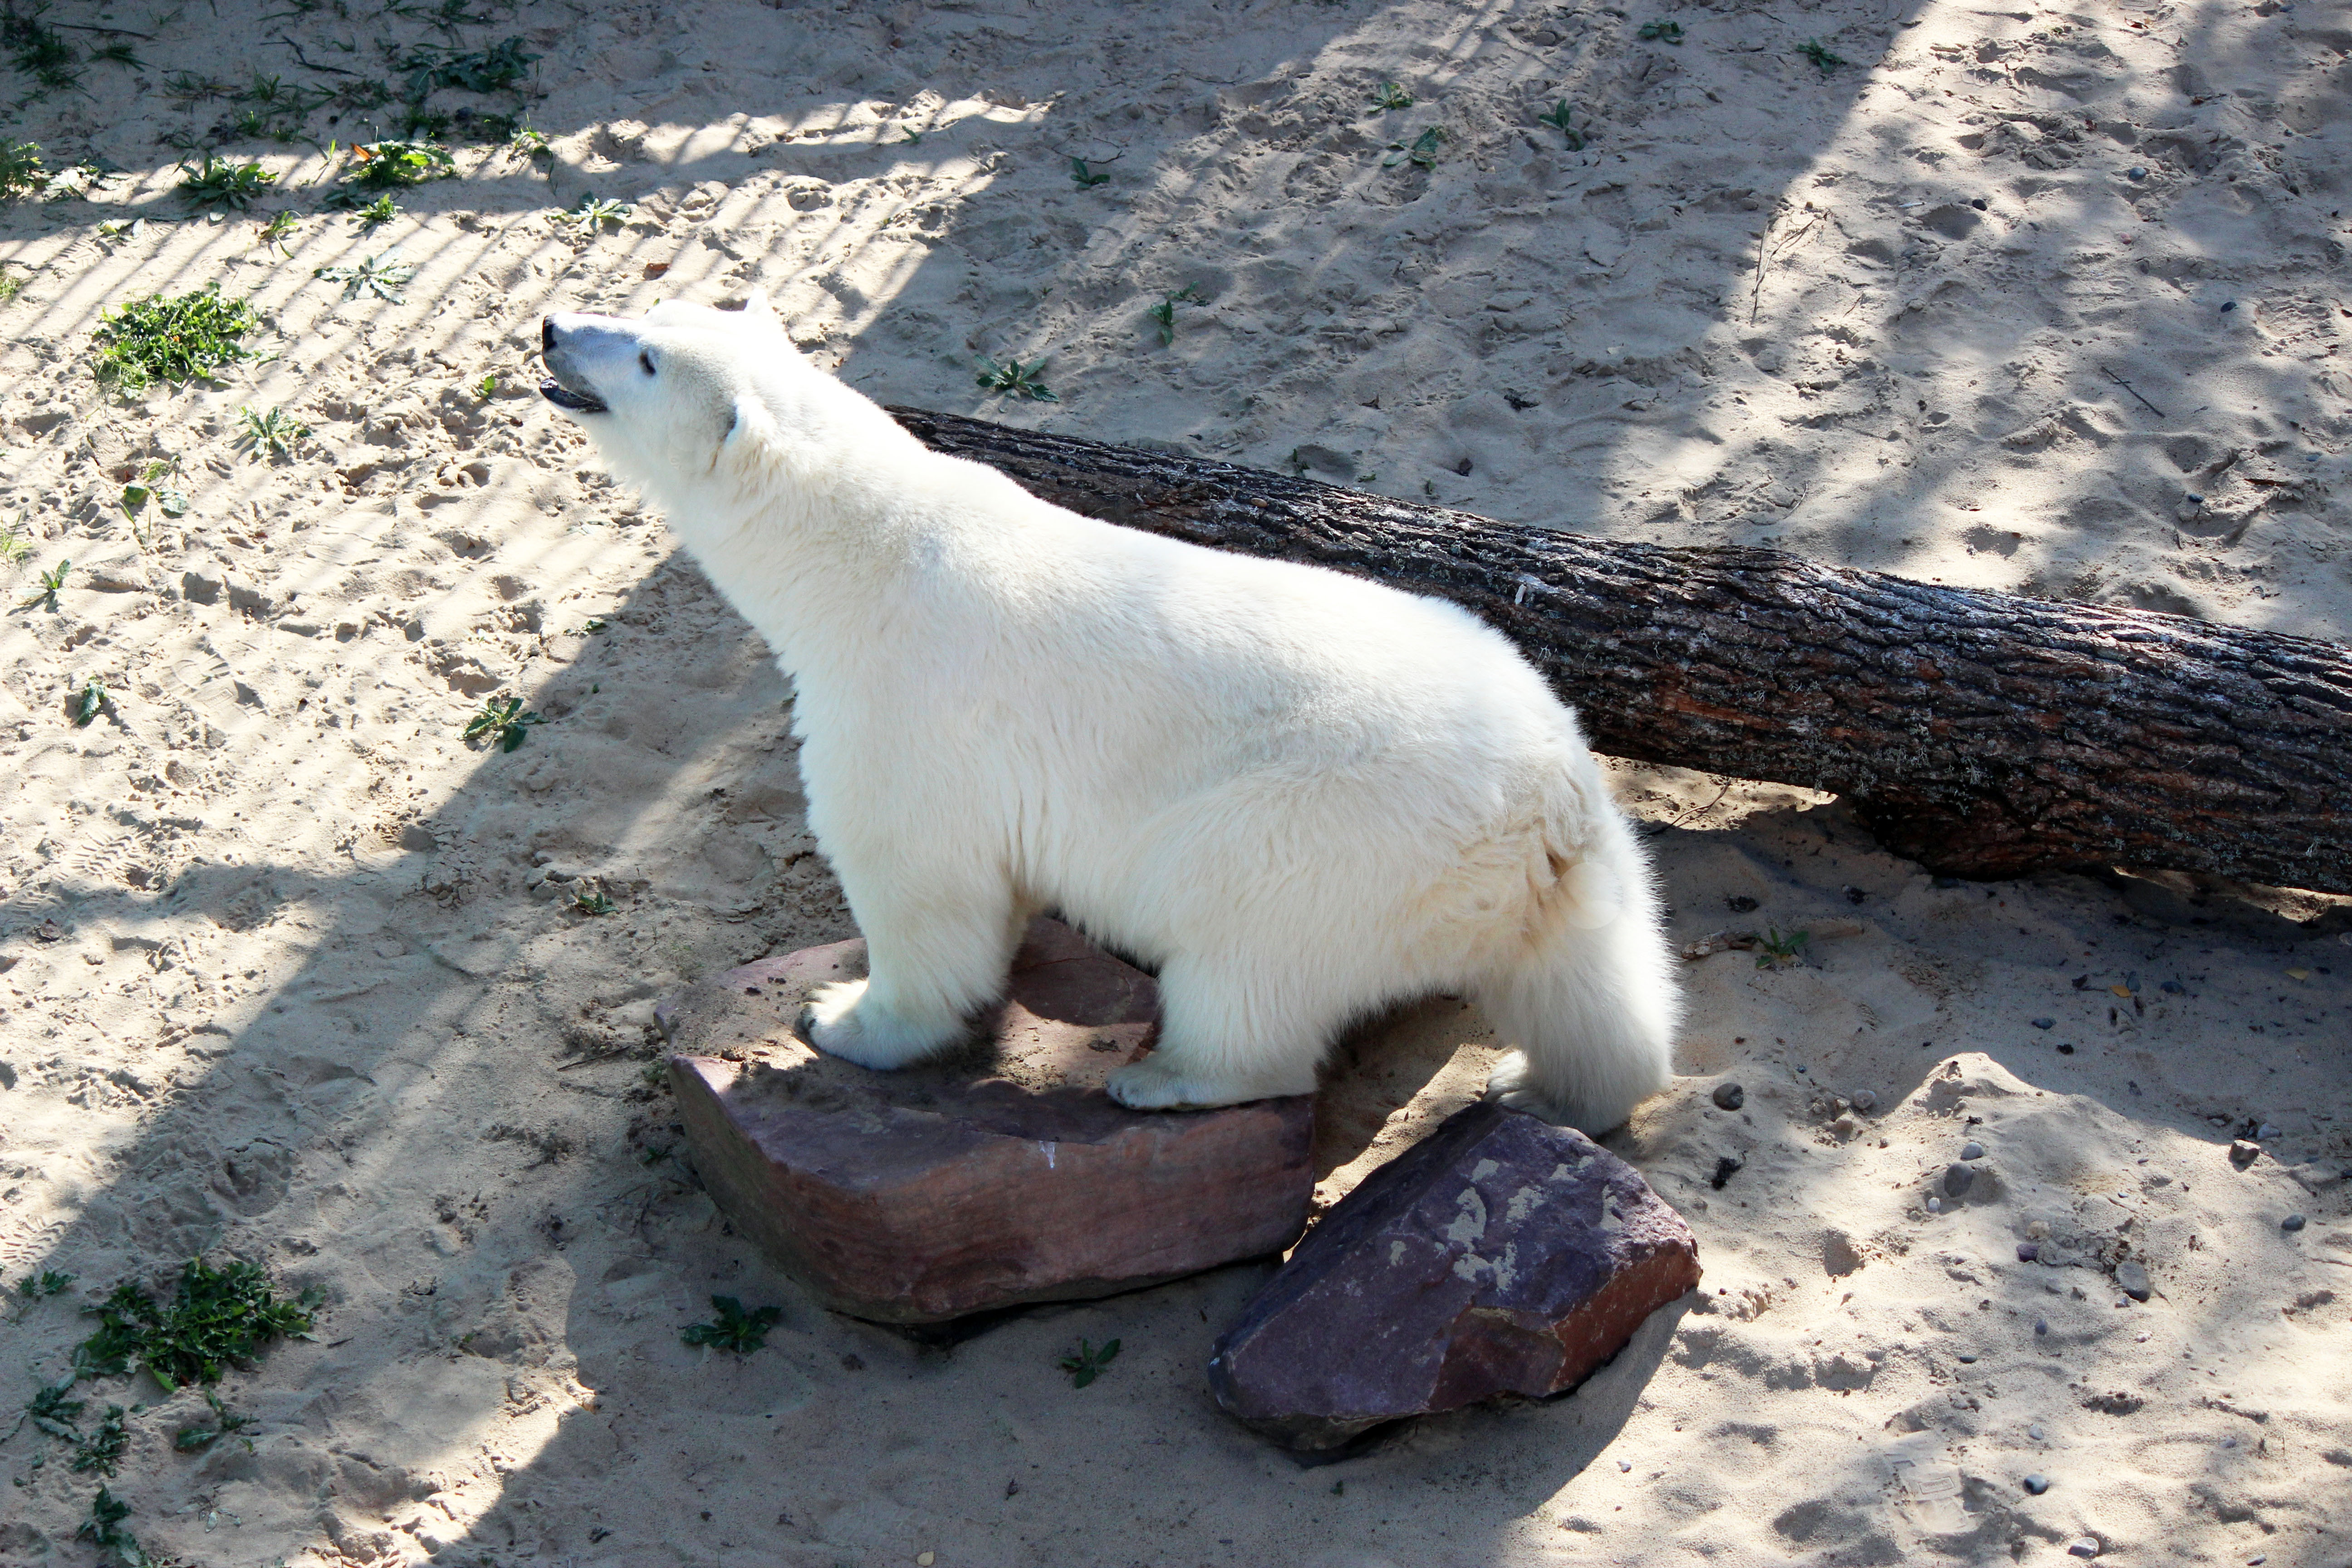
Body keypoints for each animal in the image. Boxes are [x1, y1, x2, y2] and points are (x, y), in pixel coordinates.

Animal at [541, 297, 1684, 1128]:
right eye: (647, 307)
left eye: (644, 357)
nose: (552, 327)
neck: (860, 558)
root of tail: (1543, 792)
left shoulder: (903, 703)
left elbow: (919, 883)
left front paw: (844, 1017)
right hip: (1566, 855)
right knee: (1595, 987)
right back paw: (1545, 1086)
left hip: (1326, 827)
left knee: (1245, 949)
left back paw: (1166, 1075)